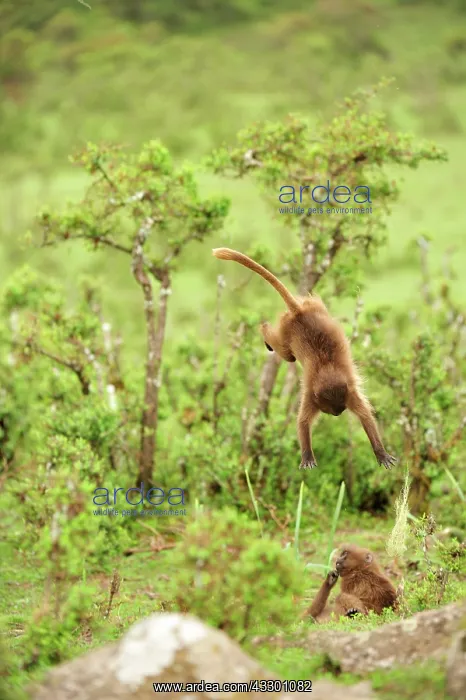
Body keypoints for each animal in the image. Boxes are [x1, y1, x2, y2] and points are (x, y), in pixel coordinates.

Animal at [212, 247, 396, 470]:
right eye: (331, 410)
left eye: (338, 410)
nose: (337, 414)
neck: (328, 370)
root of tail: (299, 311)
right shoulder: (313, 394)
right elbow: (303, 421)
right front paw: (307, 456)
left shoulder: (348, 394)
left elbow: (364, 416)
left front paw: (380, 452)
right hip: (289, 328)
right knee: (286, 354)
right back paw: (264, 329)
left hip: (314, 308)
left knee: (288, 355)